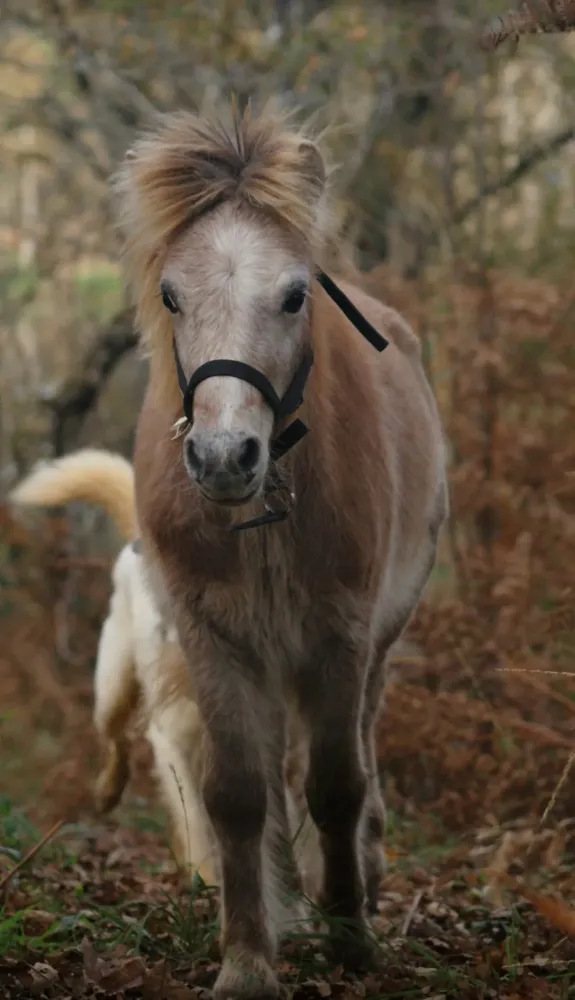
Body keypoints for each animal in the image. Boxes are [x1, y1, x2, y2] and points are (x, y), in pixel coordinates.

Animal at [115, 103, 448, 999]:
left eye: (295, 294)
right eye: (171, 295)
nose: (224, 457)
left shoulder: (340, 635)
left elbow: (335, 784)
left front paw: (351, 938)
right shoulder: (215, 638)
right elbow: (238, 793)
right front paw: (248, 957)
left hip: (376, 643)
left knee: (350, 751)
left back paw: (352, 883)